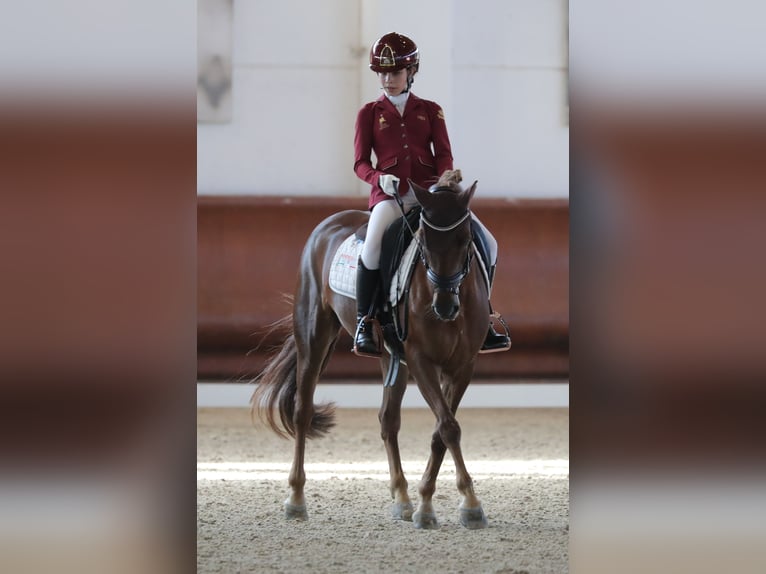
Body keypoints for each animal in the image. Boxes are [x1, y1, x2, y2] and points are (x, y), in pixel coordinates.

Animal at [252, 171, 492, 532]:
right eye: (423, 242)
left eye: (466, 240)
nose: (444, 307)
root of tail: (328, 224)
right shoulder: (421, 360)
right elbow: (448, 427)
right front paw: (467, 504)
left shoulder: (462, 365)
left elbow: (441, 430)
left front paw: (432, 503)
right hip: (314, 335)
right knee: (302, 411)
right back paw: (296, 499)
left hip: (392, 357)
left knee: (387, 420)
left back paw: (402, 499)